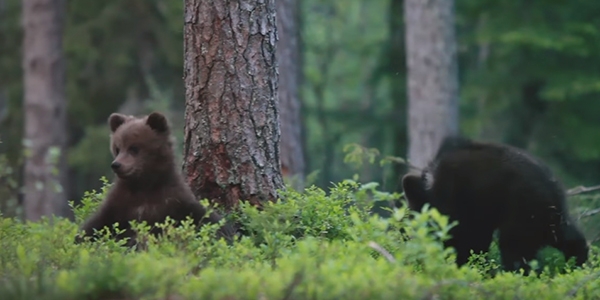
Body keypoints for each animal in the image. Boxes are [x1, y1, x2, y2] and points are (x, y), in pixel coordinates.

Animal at [74, 111, 234, 247]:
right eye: (117, 148)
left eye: (134, 148)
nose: (116, 165)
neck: (144, 185)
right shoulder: (120, 204)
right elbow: (97, 224)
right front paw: (79, 239)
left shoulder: (172, 200)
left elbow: (202, 216)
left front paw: (226, 232)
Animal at [400, 136, 588, 272]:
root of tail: (552, 185)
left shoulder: (463, 206)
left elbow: (466, 241)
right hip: (549, 216)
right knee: (568, 236)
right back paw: (579, 263)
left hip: (523, 211)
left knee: (515, 248)